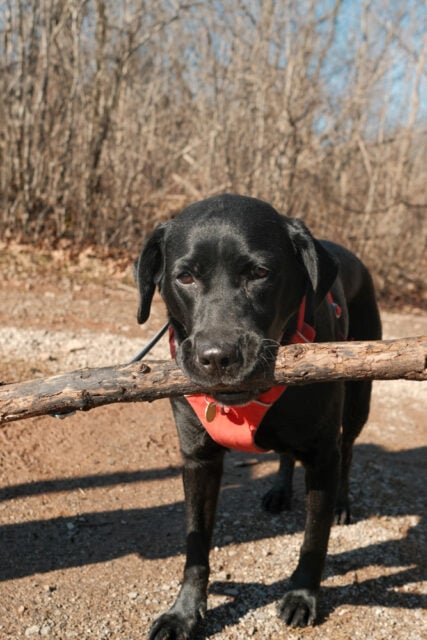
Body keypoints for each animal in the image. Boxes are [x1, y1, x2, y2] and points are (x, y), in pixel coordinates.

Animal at [134, 192, 382, 636]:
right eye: (185, 277)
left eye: (260, 273)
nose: (218, 357)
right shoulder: (198, 458)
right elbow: (195, 544)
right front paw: (184, 612)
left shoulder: (322, 455)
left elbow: (314, 538)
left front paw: (302, 596)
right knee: (285, 455)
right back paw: (280, 491)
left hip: (359, 397)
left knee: (349, 448)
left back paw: (342, 503)